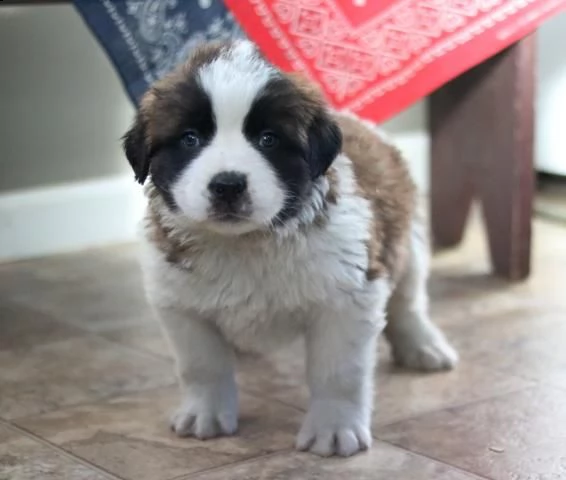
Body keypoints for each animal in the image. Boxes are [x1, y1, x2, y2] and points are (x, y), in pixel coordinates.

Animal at [123, 40, 458, 458]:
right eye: (189, 139)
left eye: (268, 139)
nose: (228, 185)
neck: (248, 243)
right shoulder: (178, 302)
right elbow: (201, 365)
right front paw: (206, 412)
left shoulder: (348, 296)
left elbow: (339, 371)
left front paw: (334, 427)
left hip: (407, 240)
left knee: (408, 301)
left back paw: (423, 345)